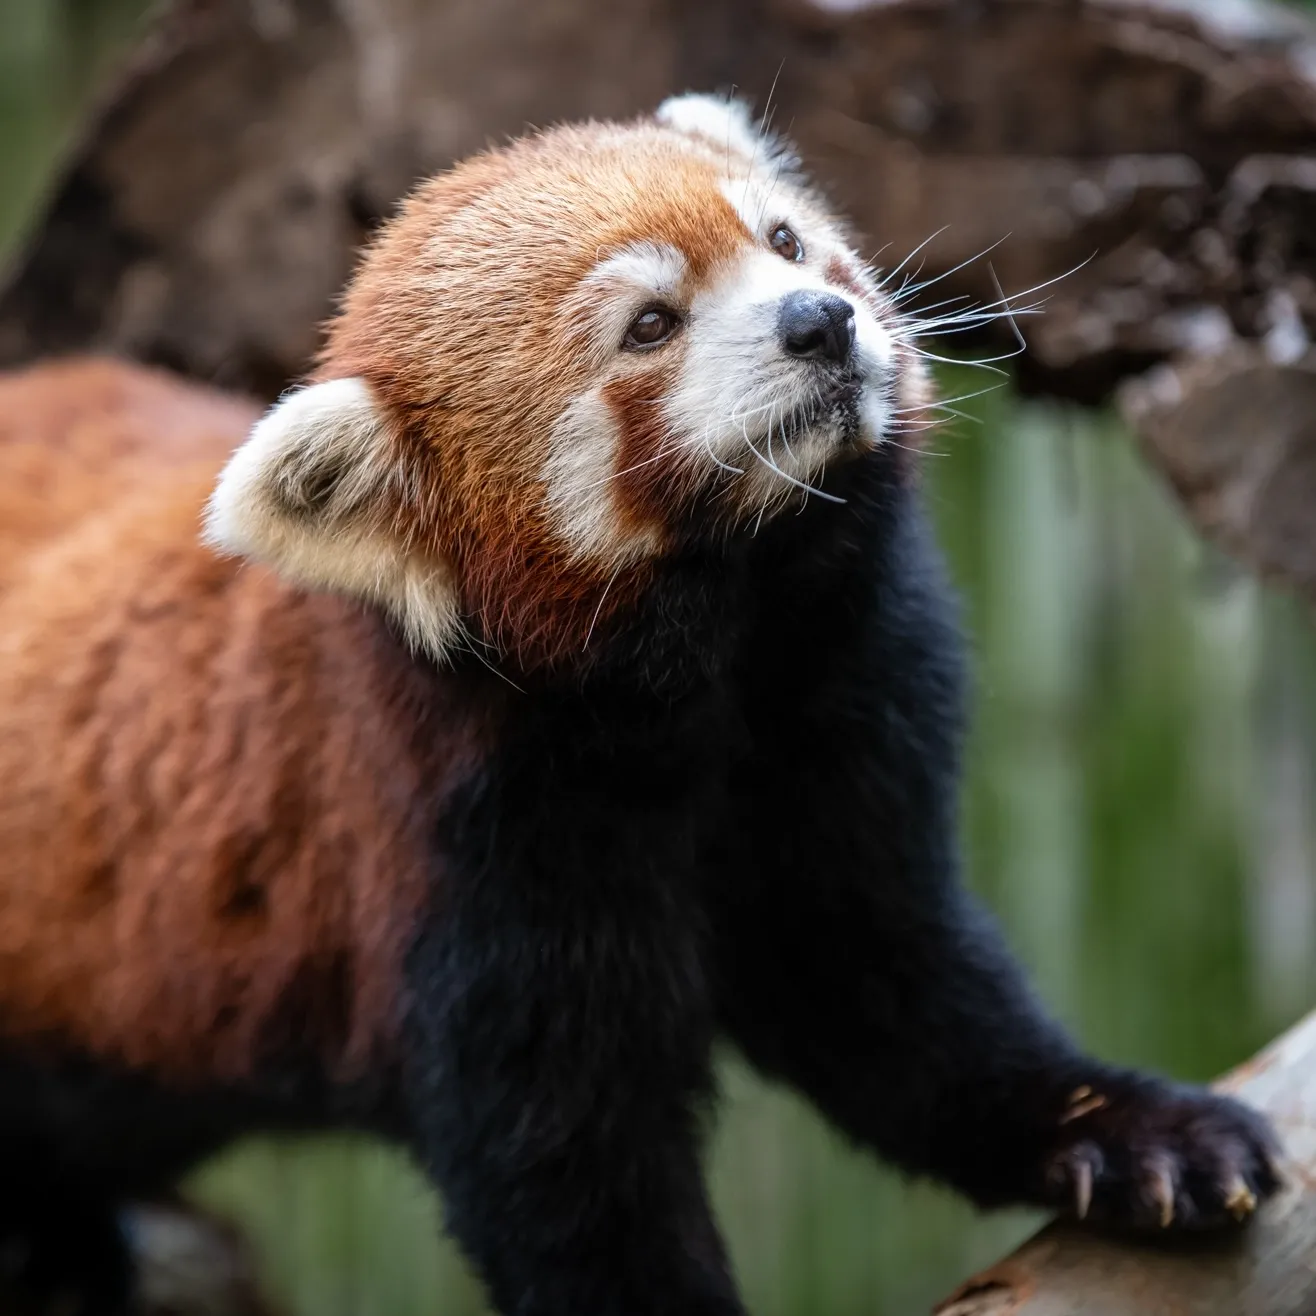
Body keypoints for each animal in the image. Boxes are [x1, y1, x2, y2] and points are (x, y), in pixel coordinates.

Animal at [0, 95, 1279, 1316]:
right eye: (650, 325)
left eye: (783, 240)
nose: (819, 320)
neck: (716, 670)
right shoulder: (460, 849)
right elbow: (569, 1173)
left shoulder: (842, 714)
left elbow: (892, 989)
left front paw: (1132, 1130)